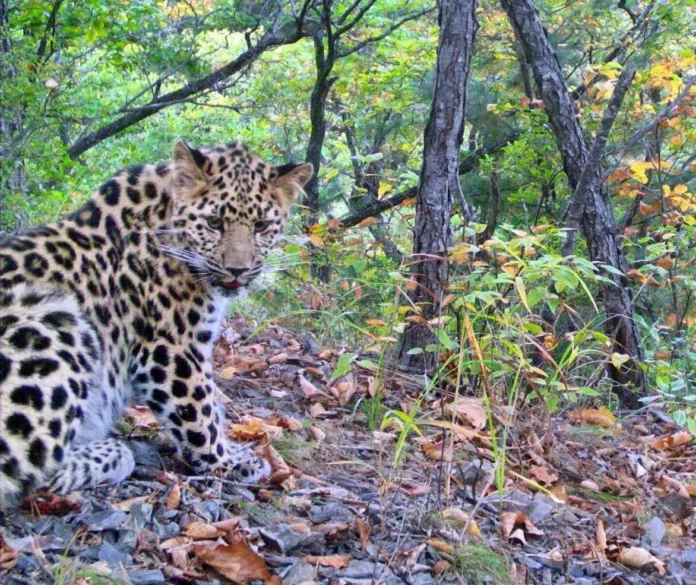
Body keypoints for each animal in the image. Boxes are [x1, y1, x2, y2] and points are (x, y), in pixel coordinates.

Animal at [0, 140, 313, 506]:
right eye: (214, 222)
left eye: (261, 226)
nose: (237, 270)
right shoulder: (171, 348)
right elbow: (201, 411)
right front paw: (229, 461)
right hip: (55, 320)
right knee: (29, 469)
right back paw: (110, 452)